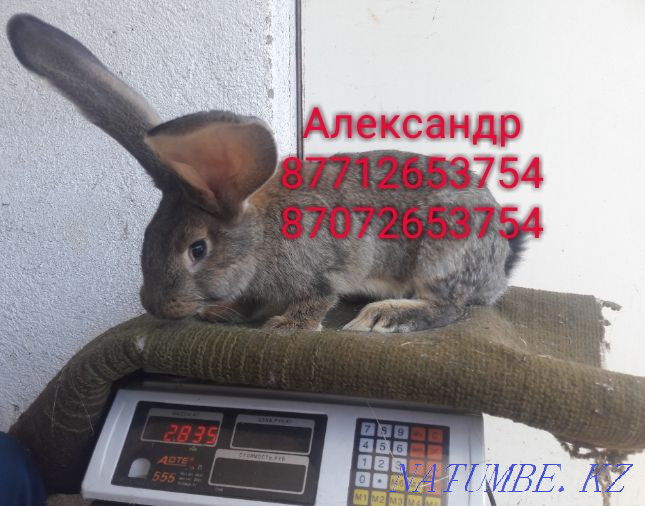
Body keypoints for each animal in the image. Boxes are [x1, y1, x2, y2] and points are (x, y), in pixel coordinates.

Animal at [7, 14, 526, 333]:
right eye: (148, 236)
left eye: (197, 249)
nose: (155, 306)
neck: (260, 238)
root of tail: (499, 263)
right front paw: (224, 313)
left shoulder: (322, 269)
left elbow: (316, 298)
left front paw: (284, 326)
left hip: (442, 256)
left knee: (451, 307)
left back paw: (385, 316)